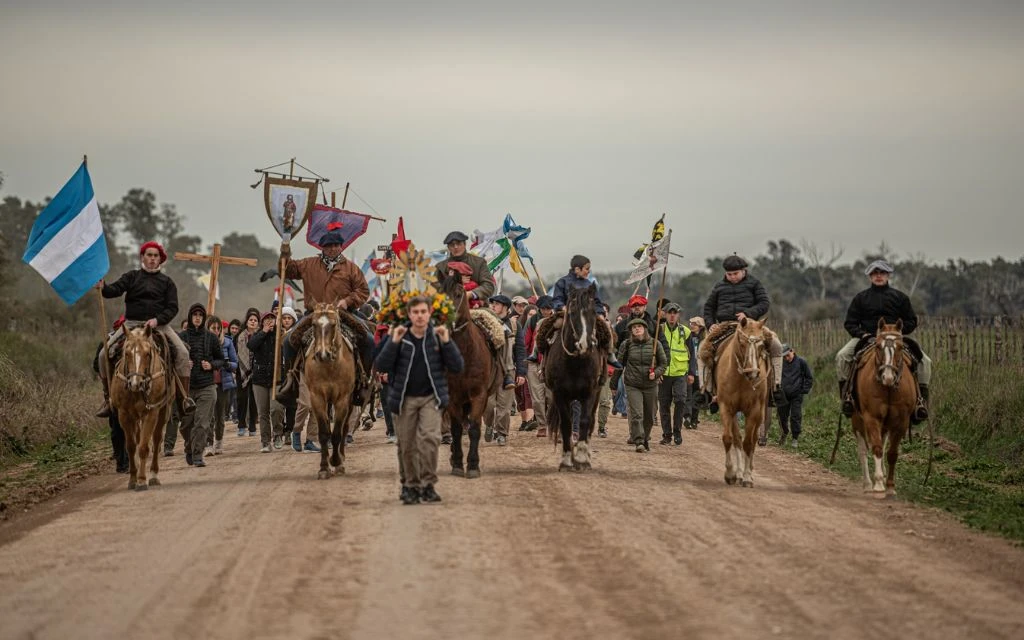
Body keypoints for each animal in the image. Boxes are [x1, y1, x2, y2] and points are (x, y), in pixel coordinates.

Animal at [109, 323, 174, 489]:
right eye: (126, 353)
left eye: (147, 354)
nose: (135, 383)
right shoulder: (124, 415)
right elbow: (131, 446)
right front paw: (132, 478)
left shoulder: (151, 413)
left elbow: (144, 447)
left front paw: (142, 479)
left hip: (163, 411)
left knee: (156, 440)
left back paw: (154, 475)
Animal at [438, 272, 501, 477]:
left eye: (458, 294)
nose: (445, 322)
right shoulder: (452, 396)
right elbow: (457, 429)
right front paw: (458, 463)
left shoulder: (478, 395)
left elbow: (474, 428)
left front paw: (473, 465)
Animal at [536, 282, 606, 468]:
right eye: (572, 312)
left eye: (593, 312)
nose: (585, 344)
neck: (576, 362)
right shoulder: (559, 394)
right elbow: (566, 424)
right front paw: (567, 459)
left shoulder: (590, 393)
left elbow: (584, 420)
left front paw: (581, 458)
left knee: (590, 422)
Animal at [716, 317, 770, 487]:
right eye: (742, 343)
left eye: (762, 344)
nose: (752, 373)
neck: (740, 379)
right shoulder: (726, 407)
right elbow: (729, 438)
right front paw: (730, 474)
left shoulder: (754, 411)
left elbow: (748, 443)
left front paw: (747, 477)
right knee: (737, 440)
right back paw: (738, 473)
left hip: (760, 414)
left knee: (752, 441)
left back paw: (748, 473)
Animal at [851, 317, 917, 493]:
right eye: (878, 346)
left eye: (900, 347)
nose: (888, 376)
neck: (887, 388)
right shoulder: (872, 418)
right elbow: (877, 448)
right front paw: (879, 484)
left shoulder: (901, 422)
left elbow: (892, 453)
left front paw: (890, 487)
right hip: (857, 419)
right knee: (862, 450)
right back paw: (868, 484)